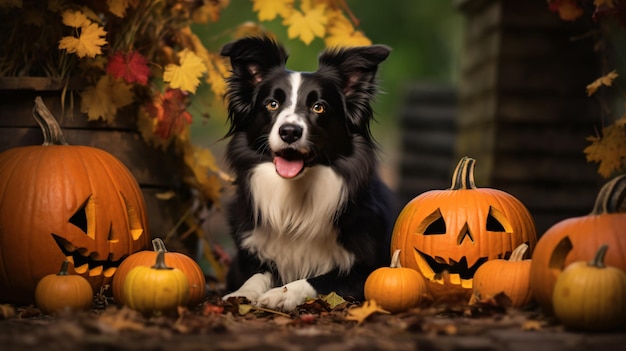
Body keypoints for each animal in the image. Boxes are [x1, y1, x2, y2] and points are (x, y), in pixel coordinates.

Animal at [222, 35, 392, 310]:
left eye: (318, 107)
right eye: (272, 104)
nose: (289, 132)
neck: (295, 199)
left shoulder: (369, 269)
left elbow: (321, 279)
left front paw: (282, 293)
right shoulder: (246, 257)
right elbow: (257, 274)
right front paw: (243, 293)